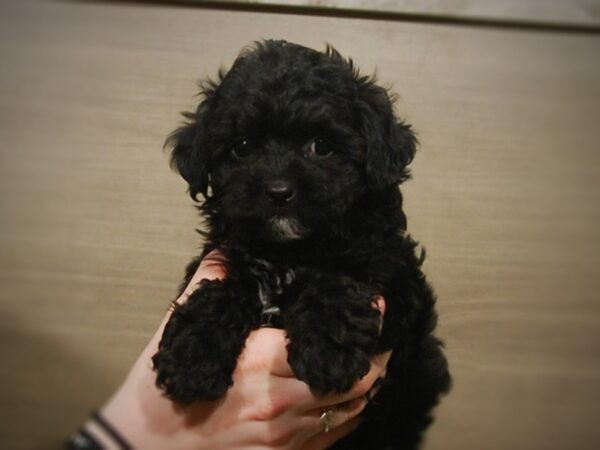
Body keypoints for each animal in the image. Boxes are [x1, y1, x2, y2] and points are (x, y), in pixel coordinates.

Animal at [154, 40, 450, 448]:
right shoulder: (227, 255)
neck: (290, 252)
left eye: (321, 146)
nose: (279, 191)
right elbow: (223, 290)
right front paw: (192, 354)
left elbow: (337, 279)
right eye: (241, 148)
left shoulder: (398, 289)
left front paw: (328, 351)